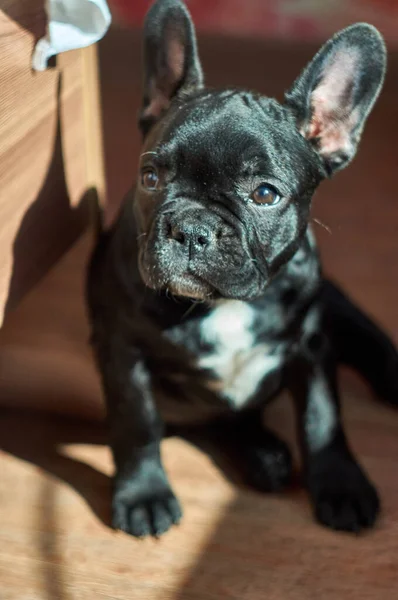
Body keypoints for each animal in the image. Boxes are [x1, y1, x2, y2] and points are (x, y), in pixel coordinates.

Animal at [87, 0, 398, 536]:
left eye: (265, 194)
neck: (227, 304)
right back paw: (264, 456)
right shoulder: (124, 352)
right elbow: (137, 422)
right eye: (150, 178)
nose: (192, 229)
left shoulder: (313, 344)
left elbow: (323, 417)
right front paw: (144, 494)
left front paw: (341, 486)